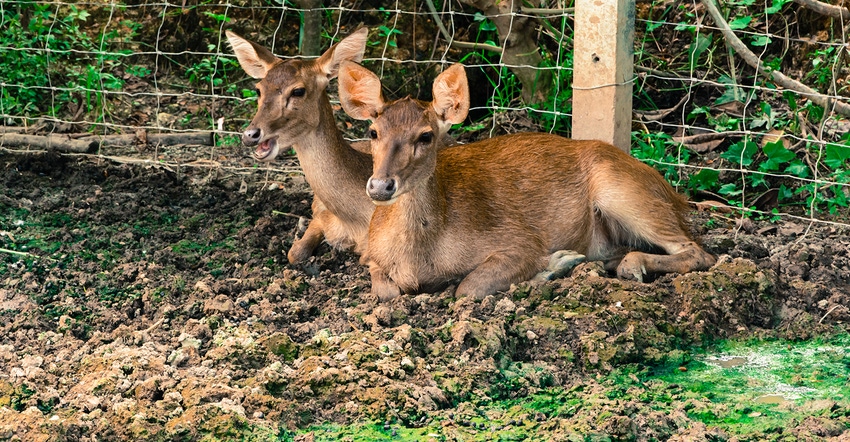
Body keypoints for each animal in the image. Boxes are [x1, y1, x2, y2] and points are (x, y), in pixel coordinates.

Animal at [225, 29, 374, 264]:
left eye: (298, 91)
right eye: (258, 90)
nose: (250, 135)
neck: (357, 222)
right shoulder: (323, 215)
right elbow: (294, 253)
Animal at [334, 61, 712, 300]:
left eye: (426, 136)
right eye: (373, 131)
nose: (380, 186)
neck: (419, 259)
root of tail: (676, 196)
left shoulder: (517, 240)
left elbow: (468, 287)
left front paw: (555, 264)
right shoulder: (370, 255)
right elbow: (385, 291)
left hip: (624, 191)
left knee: (698, 252)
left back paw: (630, 265)